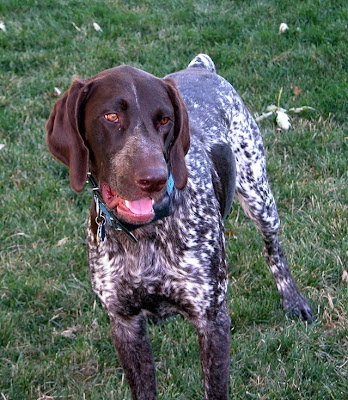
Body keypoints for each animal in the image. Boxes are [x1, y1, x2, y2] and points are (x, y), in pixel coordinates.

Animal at [46, 55, 312, 400]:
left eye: (165, 120)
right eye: (111, 116)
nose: (154, 179)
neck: (144, 235)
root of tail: (200, 67)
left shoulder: (212, 320)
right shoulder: (124, 325)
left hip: (259, 196)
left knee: (273, 250)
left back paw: (293, 299)